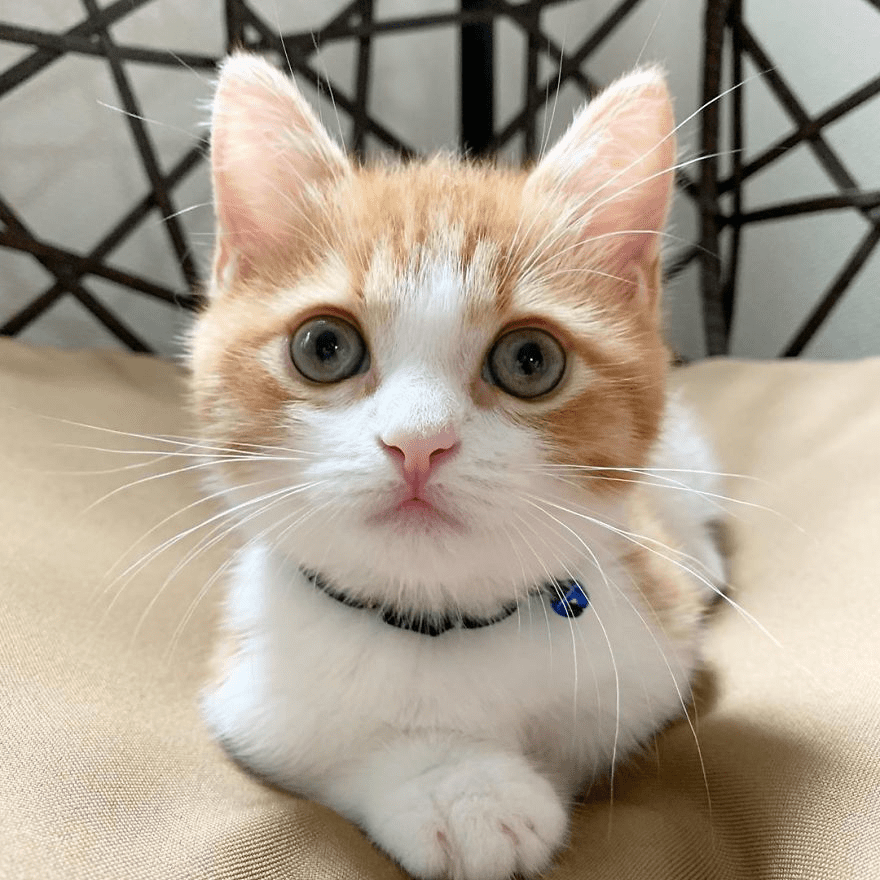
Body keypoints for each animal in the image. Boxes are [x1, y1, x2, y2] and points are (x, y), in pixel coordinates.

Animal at [191, 53, 720, 880]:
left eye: (530, 360)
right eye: (323, 347)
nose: (418, 443)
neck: (439, 624)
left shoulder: (653, 654)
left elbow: (603, 732)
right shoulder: (247, 696)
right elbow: (321, 751)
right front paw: (458, 786)